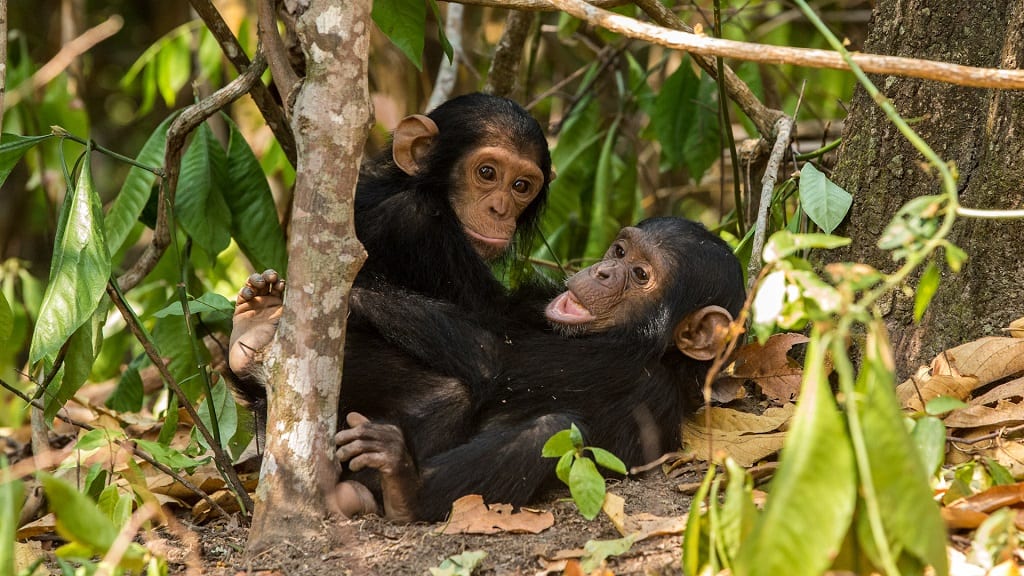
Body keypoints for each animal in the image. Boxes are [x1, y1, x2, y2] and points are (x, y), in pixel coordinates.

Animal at [335, 216, 745, 520]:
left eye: (641, 274)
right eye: (620, 251)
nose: (604, 271)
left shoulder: (619, 367)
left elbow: (492, 355)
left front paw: (355, 293)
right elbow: (494, 312)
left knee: (550, 428)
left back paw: (401, 486)